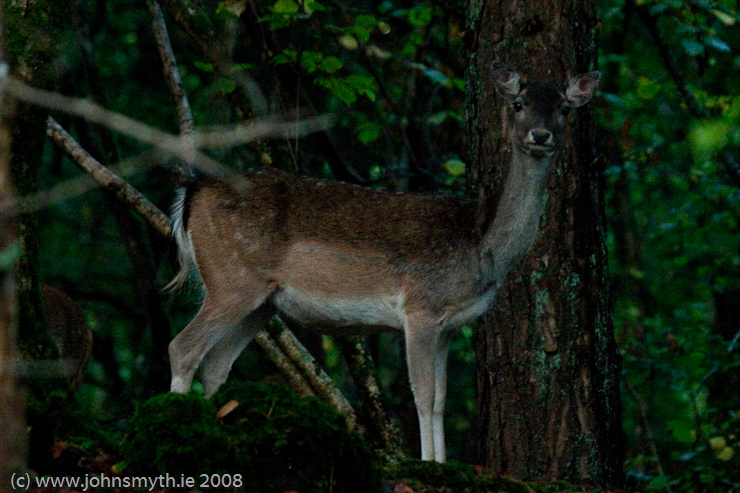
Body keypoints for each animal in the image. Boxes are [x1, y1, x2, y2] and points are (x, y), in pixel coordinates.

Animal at [168, 61, 600, 462]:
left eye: (564, 108)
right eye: (518, 104)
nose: (540, 135)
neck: (482, 248)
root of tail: (191, 196)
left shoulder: (449, 325)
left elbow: (441, 400)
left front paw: (441, 463)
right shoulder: (421, 307)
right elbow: (423, 396)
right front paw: (427, 465)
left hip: (263, 301)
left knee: (216, 363)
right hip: (231, 279)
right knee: (182, 347)